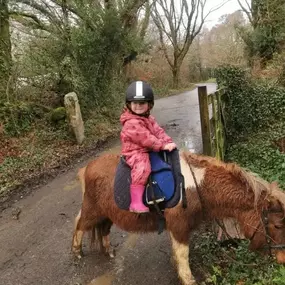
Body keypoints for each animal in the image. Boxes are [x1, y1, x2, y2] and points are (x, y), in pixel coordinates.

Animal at [71, 150, 285, 282]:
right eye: (277, 226)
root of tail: (86, 168)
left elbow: (177, 252)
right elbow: (183, 254)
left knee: (102, 230)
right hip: (93, 210)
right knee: (79, 224)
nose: (282, 259)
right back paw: (77, 252)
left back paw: (108, 251)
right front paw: (188, 279)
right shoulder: (179, 226)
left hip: (106, 214)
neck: (197, 185)